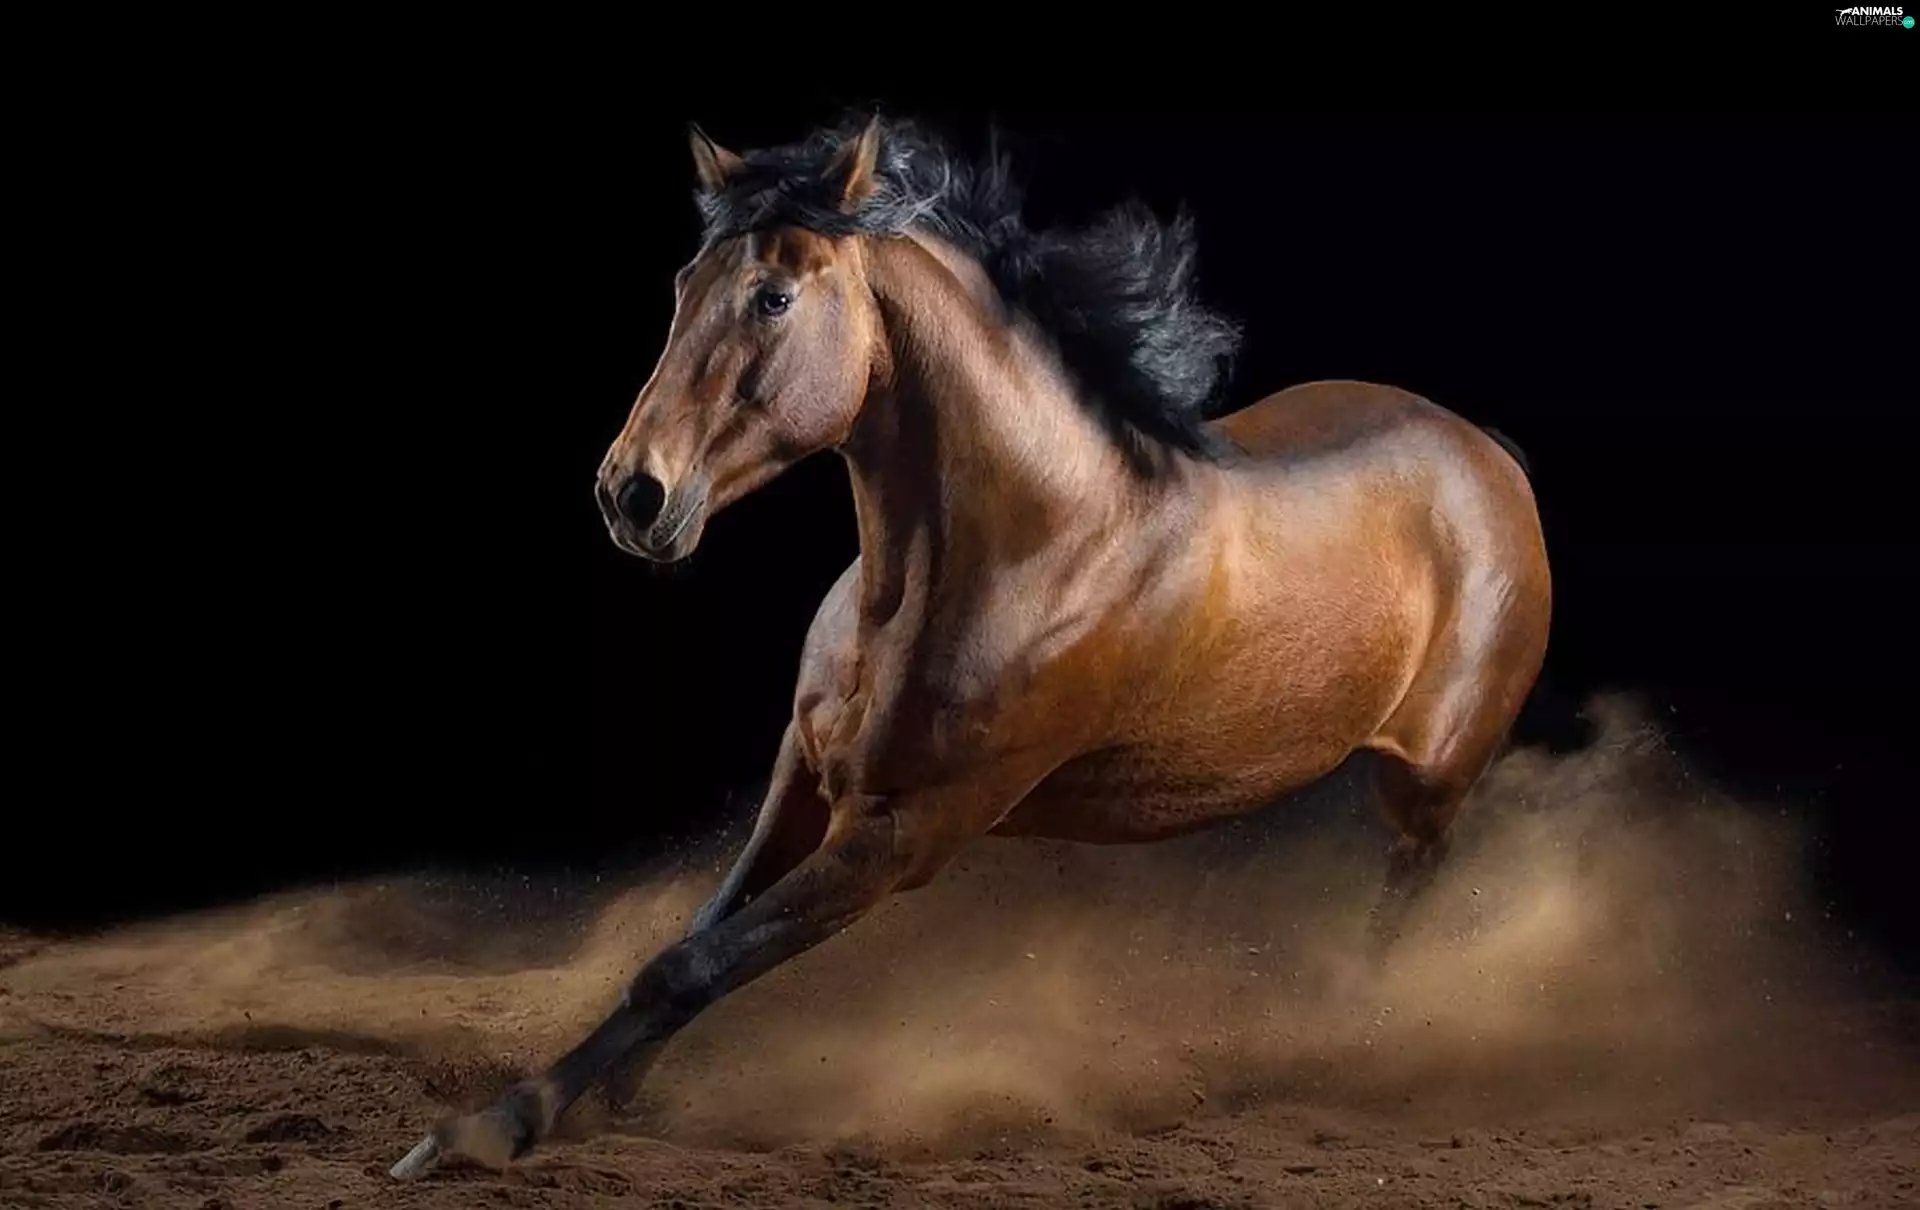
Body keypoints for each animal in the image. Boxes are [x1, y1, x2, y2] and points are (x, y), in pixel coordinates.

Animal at [391, 113, 1552, 1179]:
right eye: (683, 283)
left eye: (773, 297)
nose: (632, 494)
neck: (1024, 547)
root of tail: (1491, 454)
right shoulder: (803, 770)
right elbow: (698, 931)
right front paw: (608, 1090)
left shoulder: (903, 836)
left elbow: (691, 964)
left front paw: (484, 1129)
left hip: (1432, 784)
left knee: (1402, 897)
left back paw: (1343, 1031)